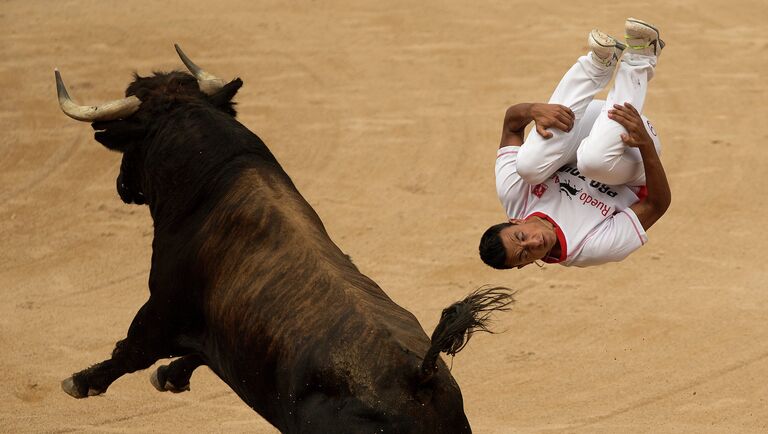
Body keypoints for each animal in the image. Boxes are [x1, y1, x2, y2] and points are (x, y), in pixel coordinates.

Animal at [55, 45, 516, 432]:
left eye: (131, 143)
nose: (122, 187)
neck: (214, 176)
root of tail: (418, 377)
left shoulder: (162, 307)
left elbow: (129, 350)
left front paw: (80, 381)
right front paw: (169, 375)